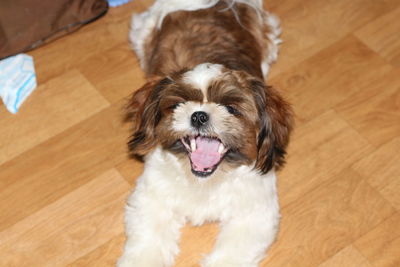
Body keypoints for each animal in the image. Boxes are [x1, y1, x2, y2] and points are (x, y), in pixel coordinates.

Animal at [117, 0, 292, 267]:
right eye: (178, 104)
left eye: (231, 108)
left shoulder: (254, 214)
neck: (205, 181)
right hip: (142, 31)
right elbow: (148, 243)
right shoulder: (151, 200)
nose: (198, 115)